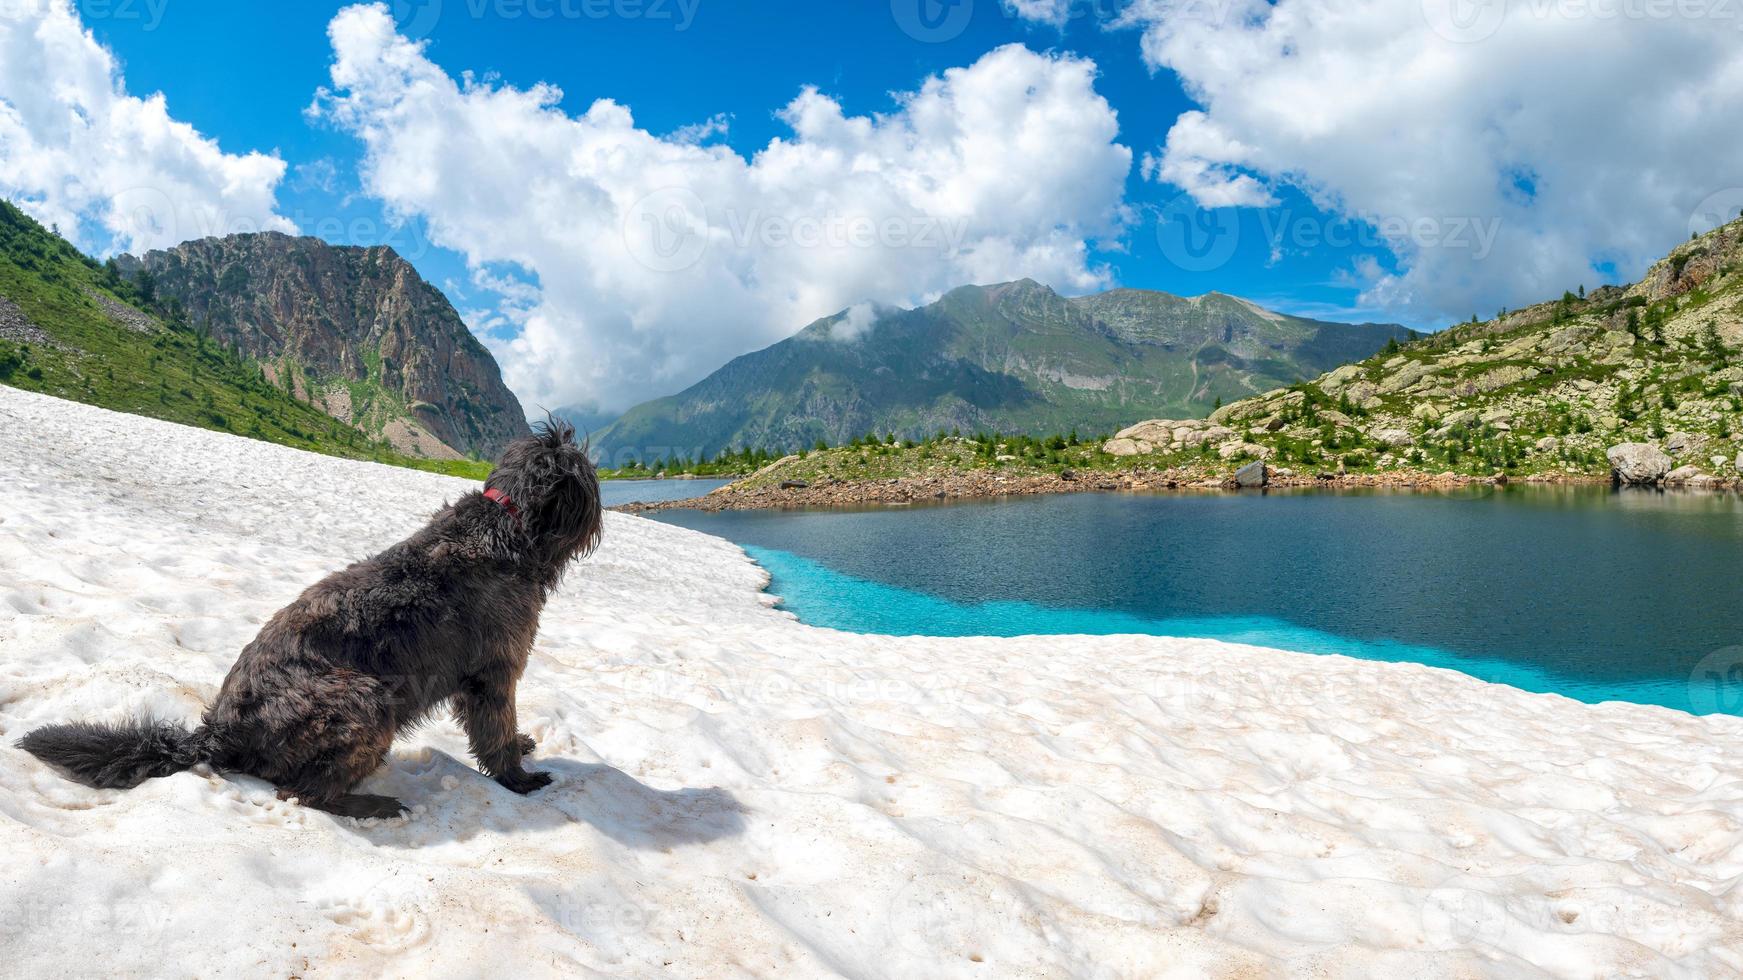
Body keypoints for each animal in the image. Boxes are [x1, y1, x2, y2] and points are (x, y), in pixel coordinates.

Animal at [16, 415, 603, 812]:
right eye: (588, 475)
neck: (508, 522)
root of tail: (218, 734)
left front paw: (523, 747)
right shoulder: (495, 671)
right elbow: (496, 728)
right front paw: (519, 777)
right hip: (364, 700)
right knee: (302, 793)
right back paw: (372, 805)